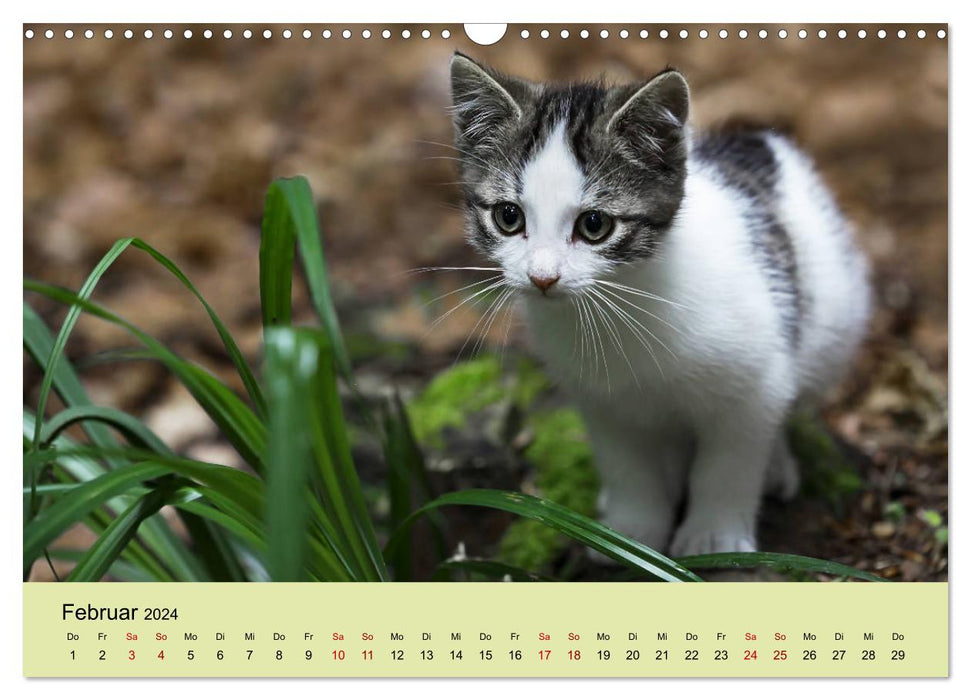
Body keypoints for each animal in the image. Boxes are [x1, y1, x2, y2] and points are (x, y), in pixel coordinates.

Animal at [448, 53, 872, 556]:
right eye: (508, 217)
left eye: (594, 225)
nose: (542, 277)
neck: (623, 303)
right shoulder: (599, 397)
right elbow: (627, 464)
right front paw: (630, 531)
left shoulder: (755, 382)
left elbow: (730, 460)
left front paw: (715, 535)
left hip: (834, 323)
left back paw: (775, 465)